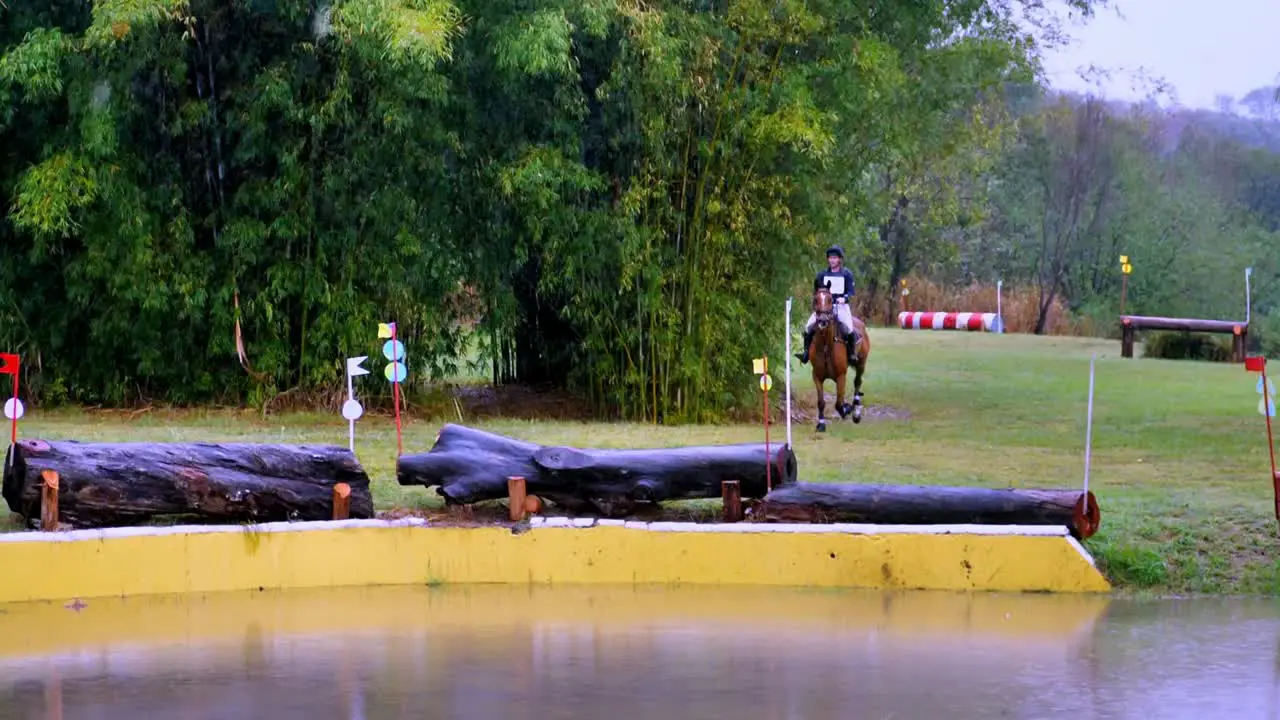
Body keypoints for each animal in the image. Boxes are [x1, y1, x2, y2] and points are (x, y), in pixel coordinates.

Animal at [808, 285, 870, 430]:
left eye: (830, 299)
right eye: (816, 299)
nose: (823, 320)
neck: (826, 345)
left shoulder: (841, 376)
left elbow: (839, 403)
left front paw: (848, 410)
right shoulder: (817, 376)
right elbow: (821, 402)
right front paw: (821, 424)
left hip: (861, 364)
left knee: (857, 383)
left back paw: (856, 412)